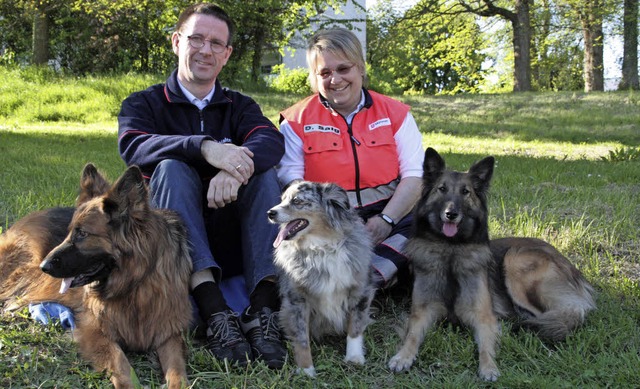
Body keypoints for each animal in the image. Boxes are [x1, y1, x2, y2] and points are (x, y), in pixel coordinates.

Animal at [0, 164, 191, 388]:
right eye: (69, 232)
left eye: (82, 234)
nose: (43, 266)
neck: (134, 285)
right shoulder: (94, 329)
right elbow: (120, 362)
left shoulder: (169, 331)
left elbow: (177, 370)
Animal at [388, 147, 596, 380]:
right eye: (442, 189)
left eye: (466, 192)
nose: (451, 214)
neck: (451, 250)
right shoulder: (422, 311)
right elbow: (413, 335)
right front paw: (402, 357)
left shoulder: (483, 315)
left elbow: (486, 346)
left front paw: (489, 368)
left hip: (515, 261)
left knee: (562, 314)